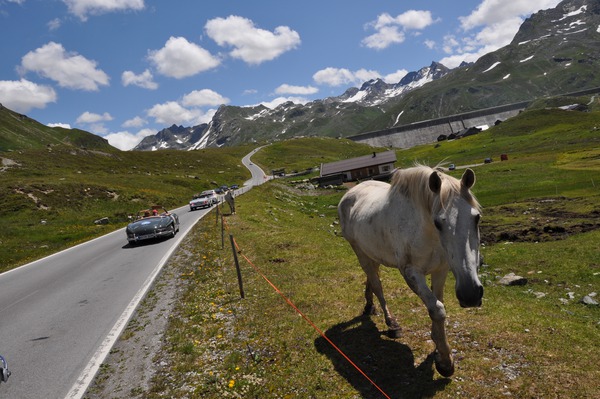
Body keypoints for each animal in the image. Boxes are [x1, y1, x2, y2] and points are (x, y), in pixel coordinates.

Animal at [338, 164, 482, 376]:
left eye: (477, 218)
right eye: (438, 222)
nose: (470, 294)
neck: (426, 233)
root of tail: (350, 193)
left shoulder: (441, 270)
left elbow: (437, 303)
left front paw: (438, 345)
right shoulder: (411, 273)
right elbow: (437, 309)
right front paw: (445, 361)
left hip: (372, 253)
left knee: (371, 277)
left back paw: (369, 306)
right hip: (359, 251)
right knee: (377, 285)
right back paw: (392, 323)